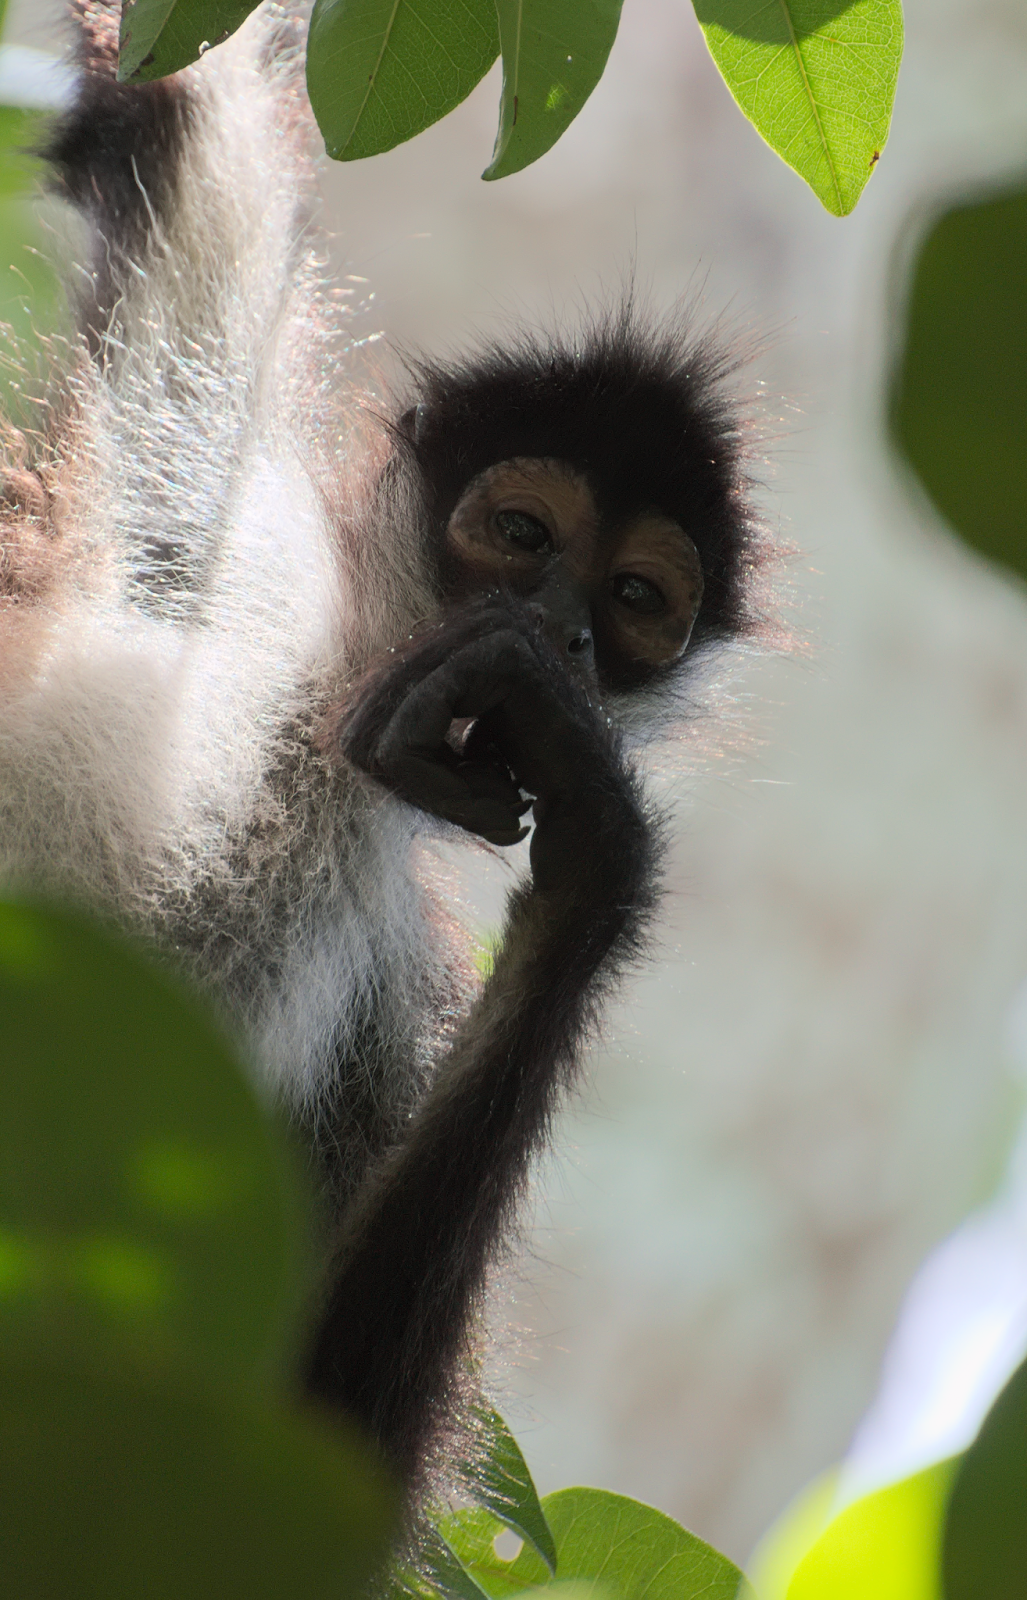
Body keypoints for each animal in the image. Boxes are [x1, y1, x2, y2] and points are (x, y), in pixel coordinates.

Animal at [0, 0, 767, 1513]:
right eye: (522, 536)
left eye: (632, 603)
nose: (554, 636)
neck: (319, 746)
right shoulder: (217, 535)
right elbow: (199, 122)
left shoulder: (388, 977)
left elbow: (299, 1443)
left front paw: (597, 859)